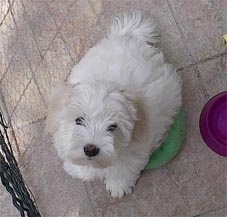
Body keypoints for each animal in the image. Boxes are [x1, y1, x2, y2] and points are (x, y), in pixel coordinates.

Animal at [46, 11, 183, 198]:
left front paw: (118, 186)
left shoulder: (134, 152)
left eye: (112, 127)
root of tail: (126, 38)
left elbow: (123, 169)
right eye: (78, 120)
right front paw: (77, 169)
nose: (90, 149)